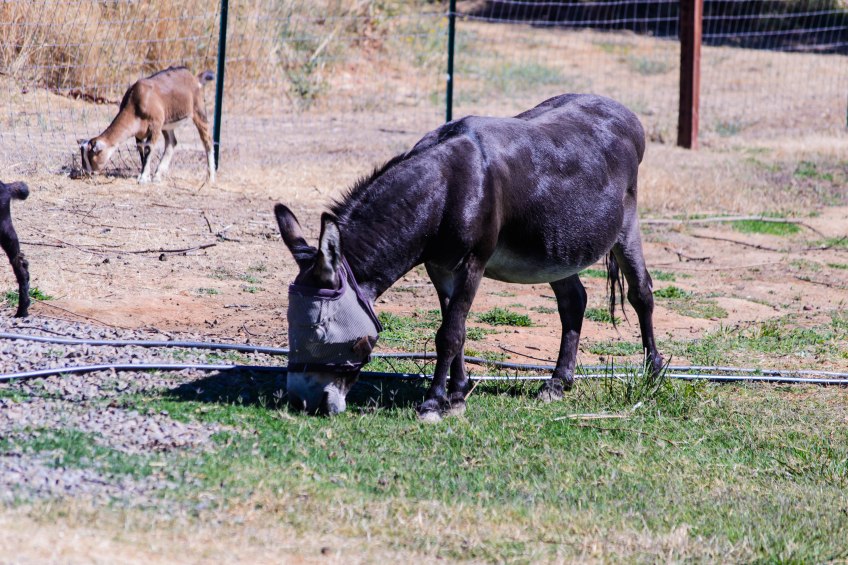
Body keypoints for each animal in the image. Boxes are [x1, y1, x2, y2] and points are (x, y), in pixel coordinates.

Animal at [79, 66, 216, 184]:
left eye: (92, 157)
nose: (87, 172)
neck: (136, 102)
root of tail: (195, 78)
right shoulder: (139, 133)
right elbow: (141, 149)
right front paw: (145, 175)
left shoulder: (155, 126)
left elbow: (148, 148)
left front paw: (143, 178)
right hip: (166, 123)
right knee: (172, 142)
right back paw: (158, 175)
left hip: (198, 111)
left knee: (207, 140)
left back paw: (210, 177)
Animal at [274, 93, 663, 420]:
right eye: (290, 326)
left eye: (321, 330)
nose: (304, 402)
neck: (445, 189)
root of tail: (621, 110)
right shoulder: (439, 267)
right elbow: (454, 328)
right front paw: (457, 394)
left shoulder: (471, 264)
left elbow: (449, 333)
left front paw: (433, 403)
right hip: (557, 249)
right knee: (573, 301)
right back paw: (557, 383)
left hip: (626, 224)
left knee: (641, 293)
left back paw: (654, 372)